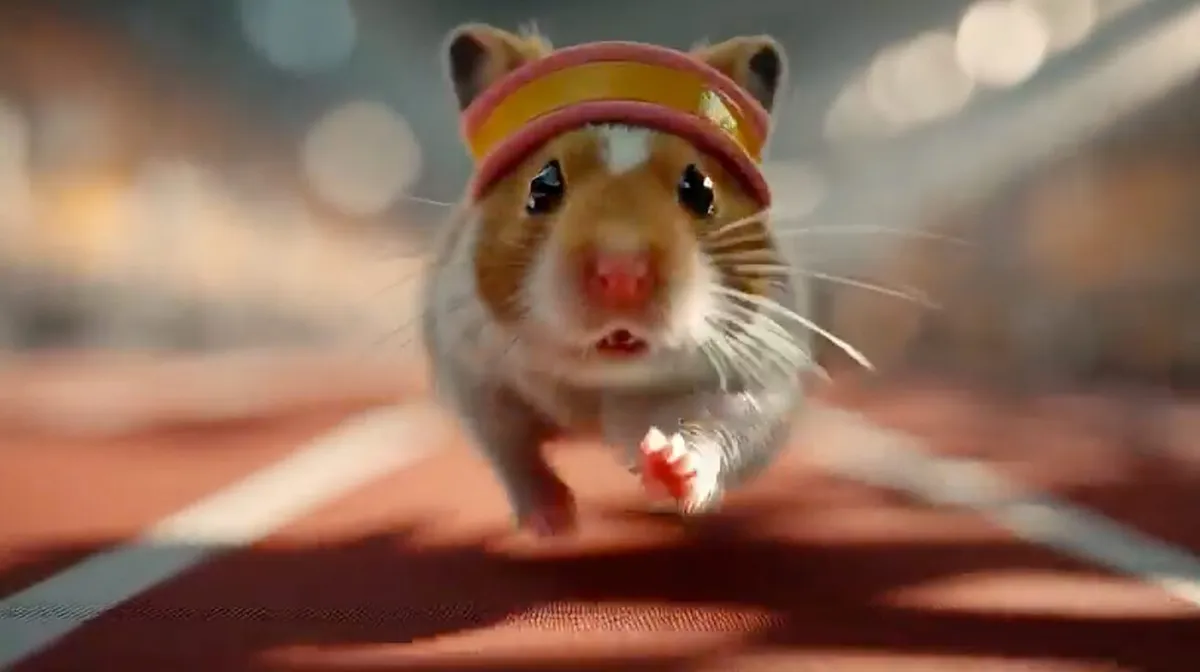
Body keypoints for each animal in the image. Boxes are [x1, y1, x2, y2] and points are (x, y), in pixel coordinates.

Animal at [422, 24, 818, 536]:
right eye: (542, 184)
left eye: (700, 189)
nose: (622, 273)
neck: (600, 387)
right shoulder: (470, 368)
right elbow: (510, 449)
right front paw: (554, 523)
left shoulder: (762, 378)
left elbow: (717, 431)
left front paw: (668, 467)